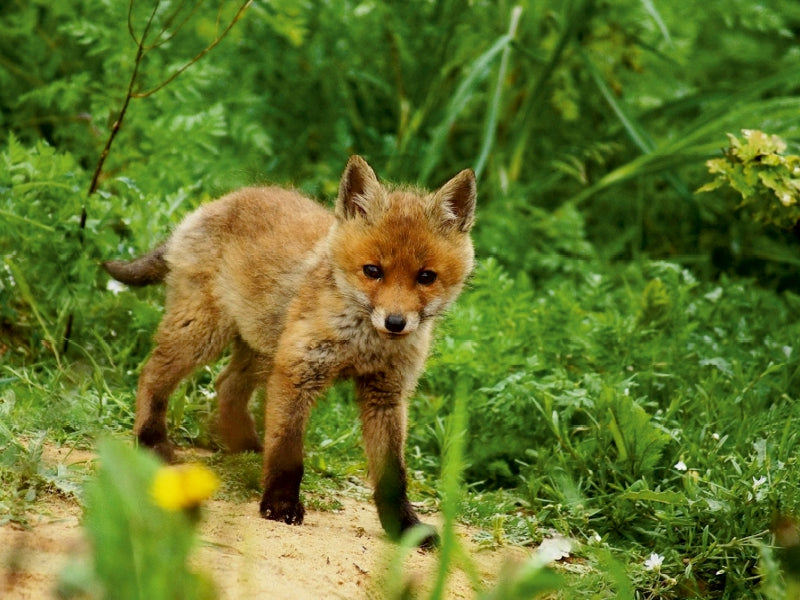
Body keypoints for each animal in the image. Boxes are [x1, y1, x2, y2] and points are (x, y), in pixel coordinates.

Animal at [103, 156, 476, 546]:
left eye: (426, 277)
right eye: (373, 271)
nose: (395, 322)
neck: (363, 344)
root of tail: (216, 203)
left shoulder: (386, 393)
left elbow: (393, 475)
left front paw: (404, 526)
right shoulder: (298, 371)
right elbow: (287, 452)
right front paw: (280, 505)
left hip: (261, 348)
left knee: (226, 385)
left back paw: (246, 446)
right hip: (204, 334)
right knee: (152, 374)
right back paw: (151, 441)